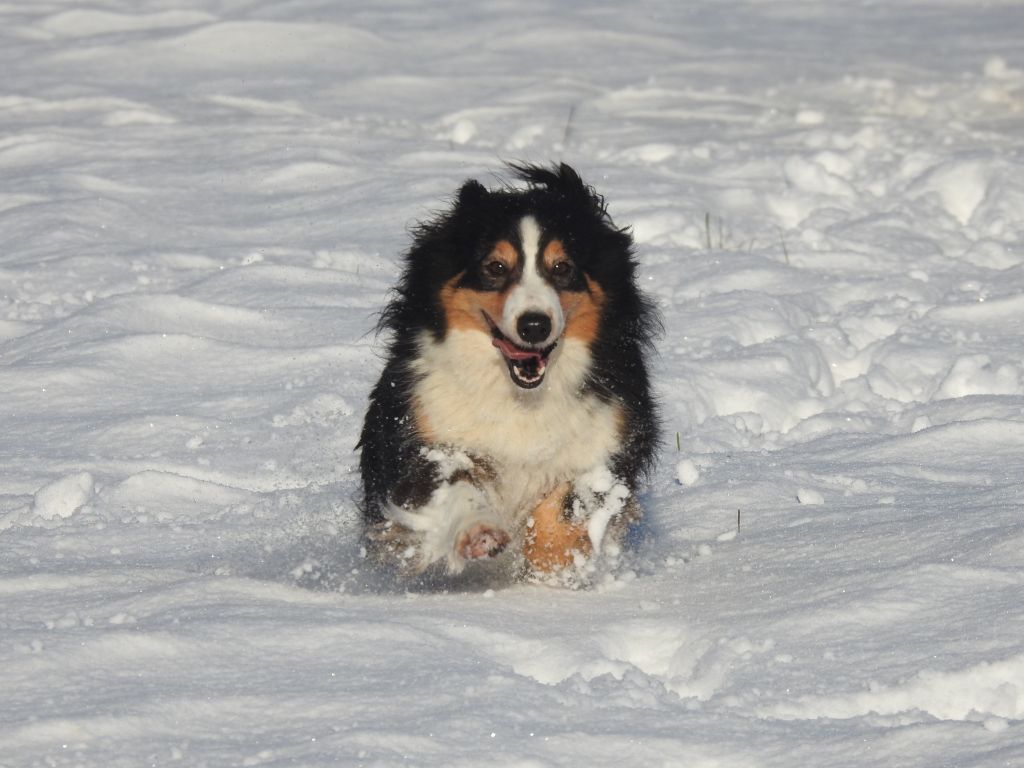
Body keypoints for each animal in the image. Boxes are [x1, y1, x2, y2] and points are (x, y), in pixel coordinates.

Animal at [360, 163, 659, 581]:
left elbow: (567, 503)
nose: (534, 325)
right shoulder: (425, 428)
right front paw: (480, 535)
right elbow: (453, 482)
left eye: (562, 267)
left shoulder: (609, 435)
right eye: (496, 267)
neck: (522, 395)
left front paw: (552, 564)